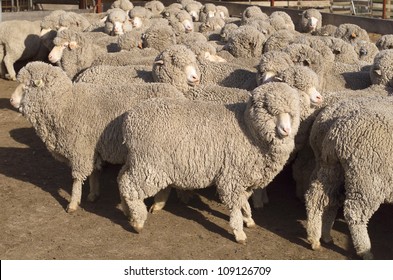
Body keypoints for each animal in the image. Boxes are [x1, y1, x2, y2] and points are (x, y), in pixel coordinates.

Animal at [9, 61, 185, 212]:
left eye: (28, 85)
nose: (11, 100)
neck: (65, 103)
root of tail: (179, 95)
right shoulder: (91, 147)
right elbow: (94, 172)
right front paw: (93, 194)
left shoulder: (80, 150)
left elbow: (77, 179)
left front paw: (73, 203)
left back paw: (161, 203)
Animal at [116, 81, 300, 243]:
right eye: (269, 110)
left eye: (292, 113)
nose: (286, 130)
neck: (248, 129)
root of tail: (130, 119)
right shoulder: (232, 176)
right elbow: (235, 205)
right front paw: (239, 232)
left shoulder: (245, 178)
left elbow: (243, 201)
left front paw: (248, 219)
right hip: (149, 165)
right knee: (128, 185)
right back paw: (137, 221)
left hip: (137, 160)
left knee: (121, 177)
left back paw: (127, 211)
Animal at [304, 95, 392, 260]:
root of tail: (337, 131)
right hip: (367, 177)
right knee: (354, 211)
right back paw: (365, 251)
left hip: (330, 166)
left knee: (320, 198)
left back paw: (318, 238)